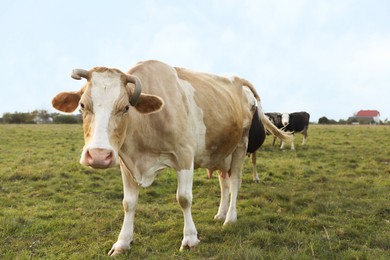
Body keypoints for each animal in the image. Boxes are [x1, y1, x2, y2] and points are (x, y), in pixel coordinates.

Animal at [51, 59, 290, 256]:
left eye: (126, 107)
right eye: (82, 105)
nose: (99, 155)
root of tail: (237, 80)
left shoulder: (184, 155)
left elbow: (184, 198)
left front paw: (190, 239)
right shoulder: (126, 163)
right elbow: (128, 203)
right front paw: (122, 243)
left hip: (240, 145)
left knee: (234, 181)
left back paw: (230, 218)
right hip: (220, 150)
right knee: (224, 182)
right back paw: (221, 214)